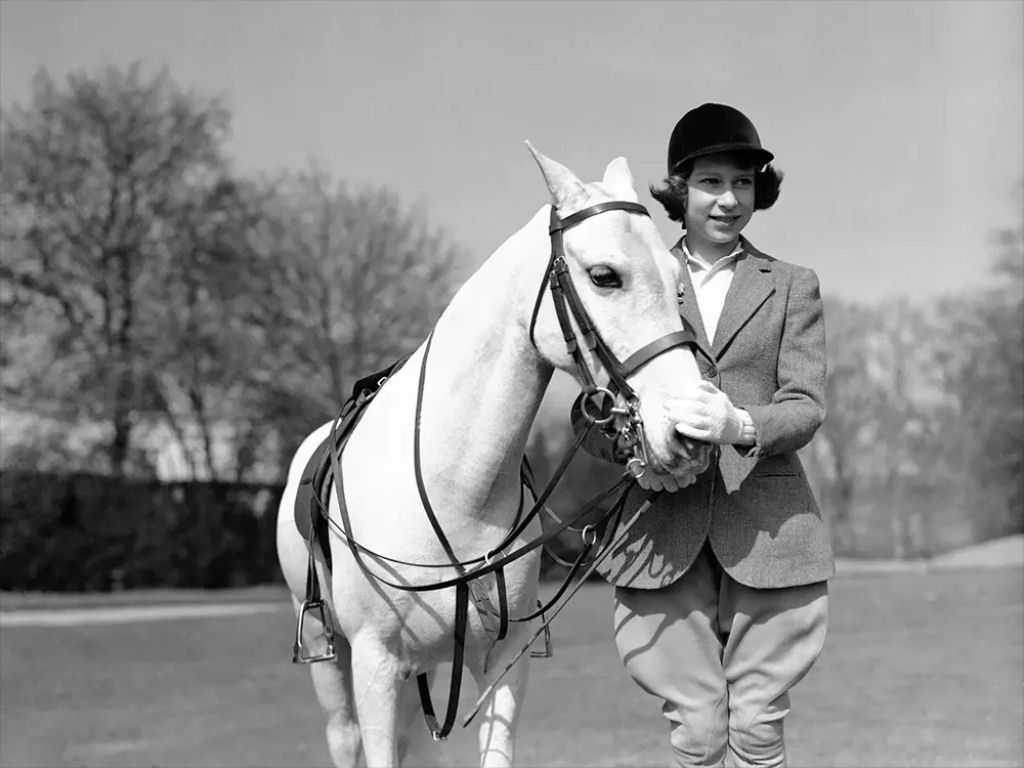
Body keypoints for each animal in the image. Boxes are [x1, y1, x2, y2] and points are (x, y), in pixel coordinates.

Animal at [280, 141, 712, 765]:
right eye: (605, 276)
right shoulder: (375, 666)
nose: (690, 430)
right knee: (343, 736)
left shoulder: (501, 664)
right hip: (331, 658)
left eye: (679, 282)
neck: (456, 488)